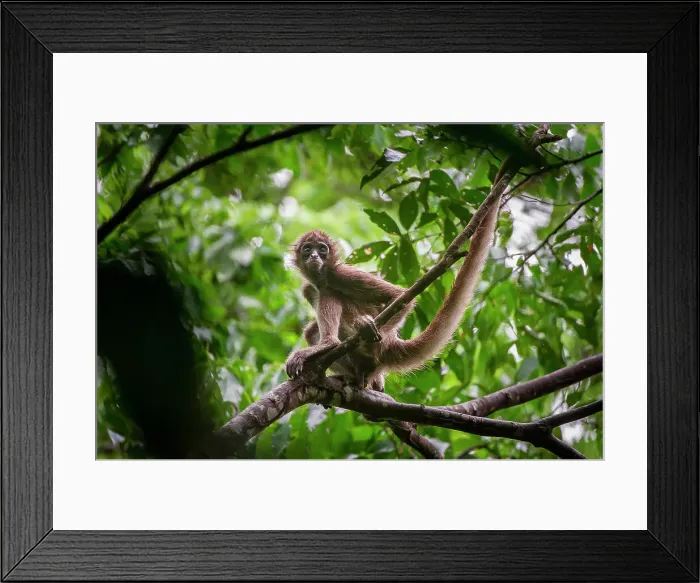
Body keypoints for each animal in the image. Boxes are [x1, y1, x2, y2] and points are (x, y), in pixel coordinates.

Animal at [285, 196, 500, 392]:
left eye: (322, 249)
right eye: (307, 249)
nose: (314, 256)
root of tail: (390, 345)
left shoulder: (340, 274)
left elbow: (399, 297)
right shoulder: (308, 287)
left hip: (373, 347)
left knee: (330, 296)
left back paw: (333, 344)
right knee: (312, 326)